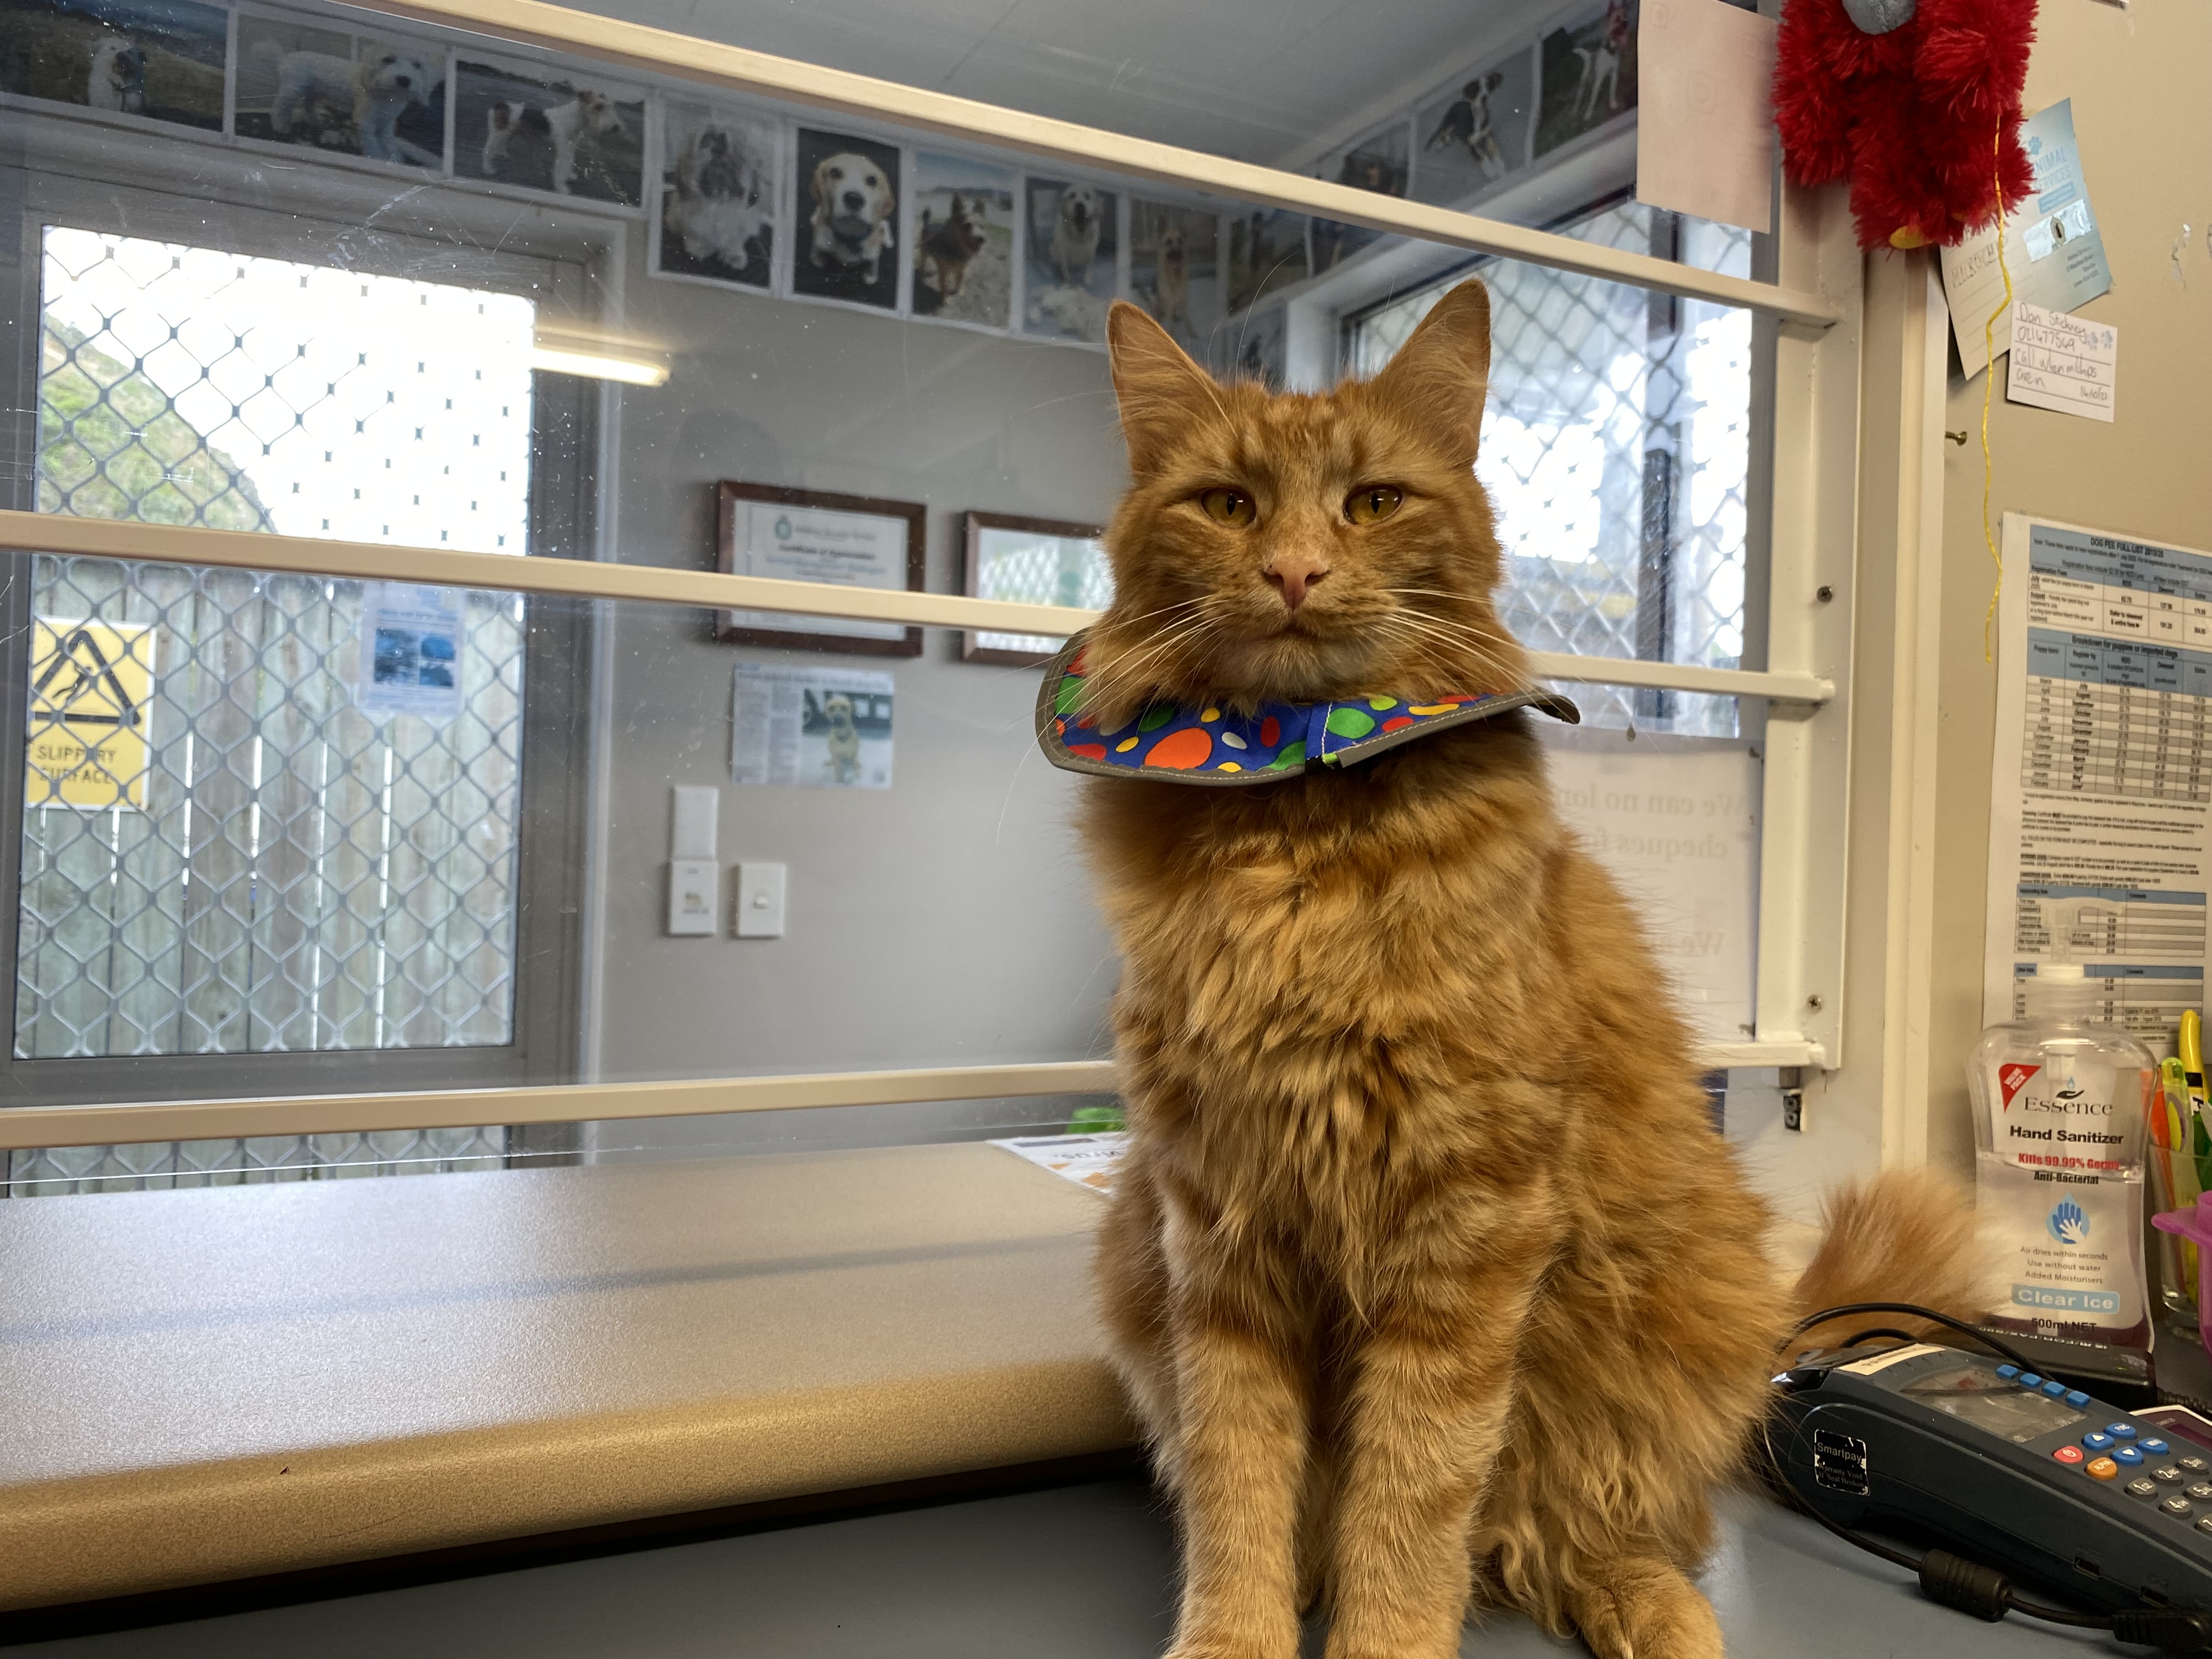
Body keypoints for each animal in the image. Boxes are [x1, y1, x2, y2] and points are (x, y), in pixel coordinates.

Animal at [1070, 290, 1973, 1659]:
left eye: (1373, 502)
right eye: (1227, 505)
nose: (1294, 573)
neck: (1302, 837)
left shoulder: (1469, 1222)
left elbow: (1413, 1494)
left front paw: (1385, 1641)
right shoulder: (1215, 1232)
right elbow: (1240, 1488)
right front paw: (1239, 1639)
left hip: (1661, 1325)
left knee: (1576, 1531)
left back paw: (1658, 1613)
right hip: (1133, 1253)